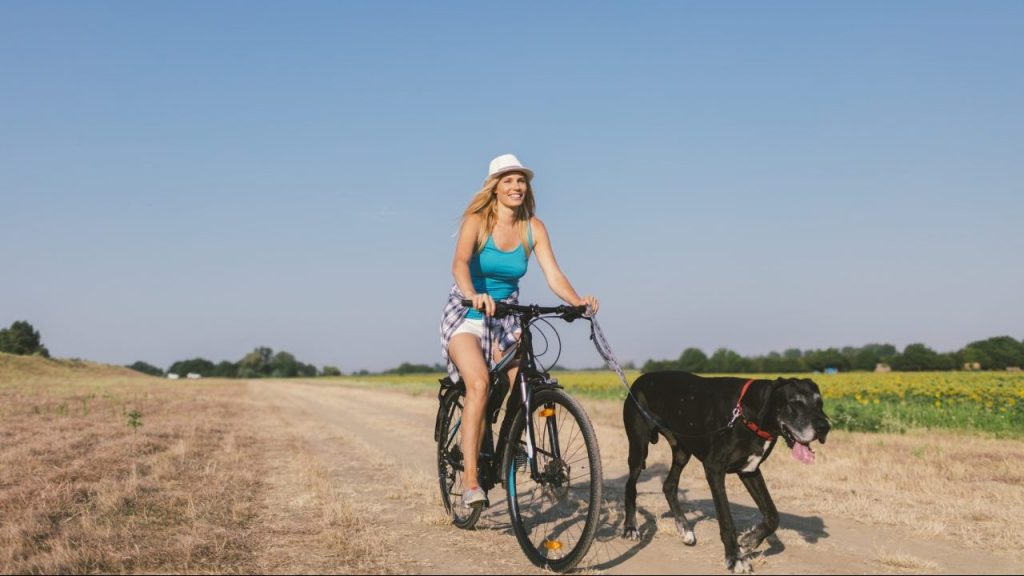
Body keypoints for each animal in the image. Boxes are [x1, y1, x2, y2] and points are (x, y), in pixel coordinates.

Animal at [618, 368, 827, 569]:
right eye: (795, 403)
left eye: (820, 403)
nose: (825, 427)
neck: (746, 414)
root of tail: (638, 380)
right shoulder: (714, 469)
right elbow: (726, 520)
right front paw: (735, 558)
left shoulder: (750, 471)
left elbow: (773, 515)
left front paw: (750, 541)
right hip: (639, 449)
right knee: (630, 486)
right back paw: (631, 528)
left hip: (682, 451)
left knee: (669, 485)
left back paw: (685, 529)